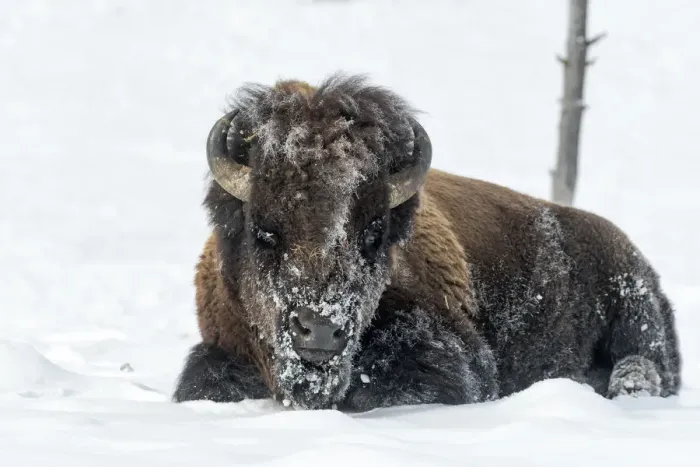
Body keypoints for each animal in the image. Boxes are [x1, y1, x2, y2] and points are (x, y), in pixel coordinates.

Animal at [172, 74, 681, 411]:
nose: (320, 330)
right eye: (264, 231)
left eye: (374, 232)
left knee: (648, 362)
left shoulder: (460, 356)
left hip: (633, 307)